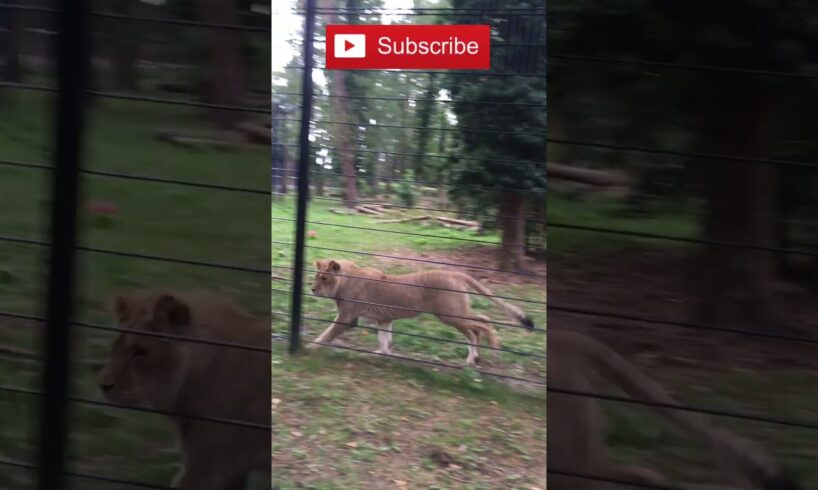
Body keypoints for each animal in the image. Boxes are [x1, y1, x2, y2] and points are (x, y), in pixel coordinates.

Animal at [302, 258, 532, 366]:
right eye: (316, 276)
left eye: (324, 278)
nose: (312, 289)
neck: (346, 279)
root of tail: (456, 273)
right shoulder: (384, 319)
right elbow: (384, 339)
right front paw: (382, 354)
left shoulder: (347, 318)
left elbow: (327, 333)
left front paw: (311, 347)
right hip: (454, 316)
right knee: (474, 331)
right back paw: (472, 360)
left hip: (451, 314)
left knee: (484, 321)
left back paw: (493, 347)